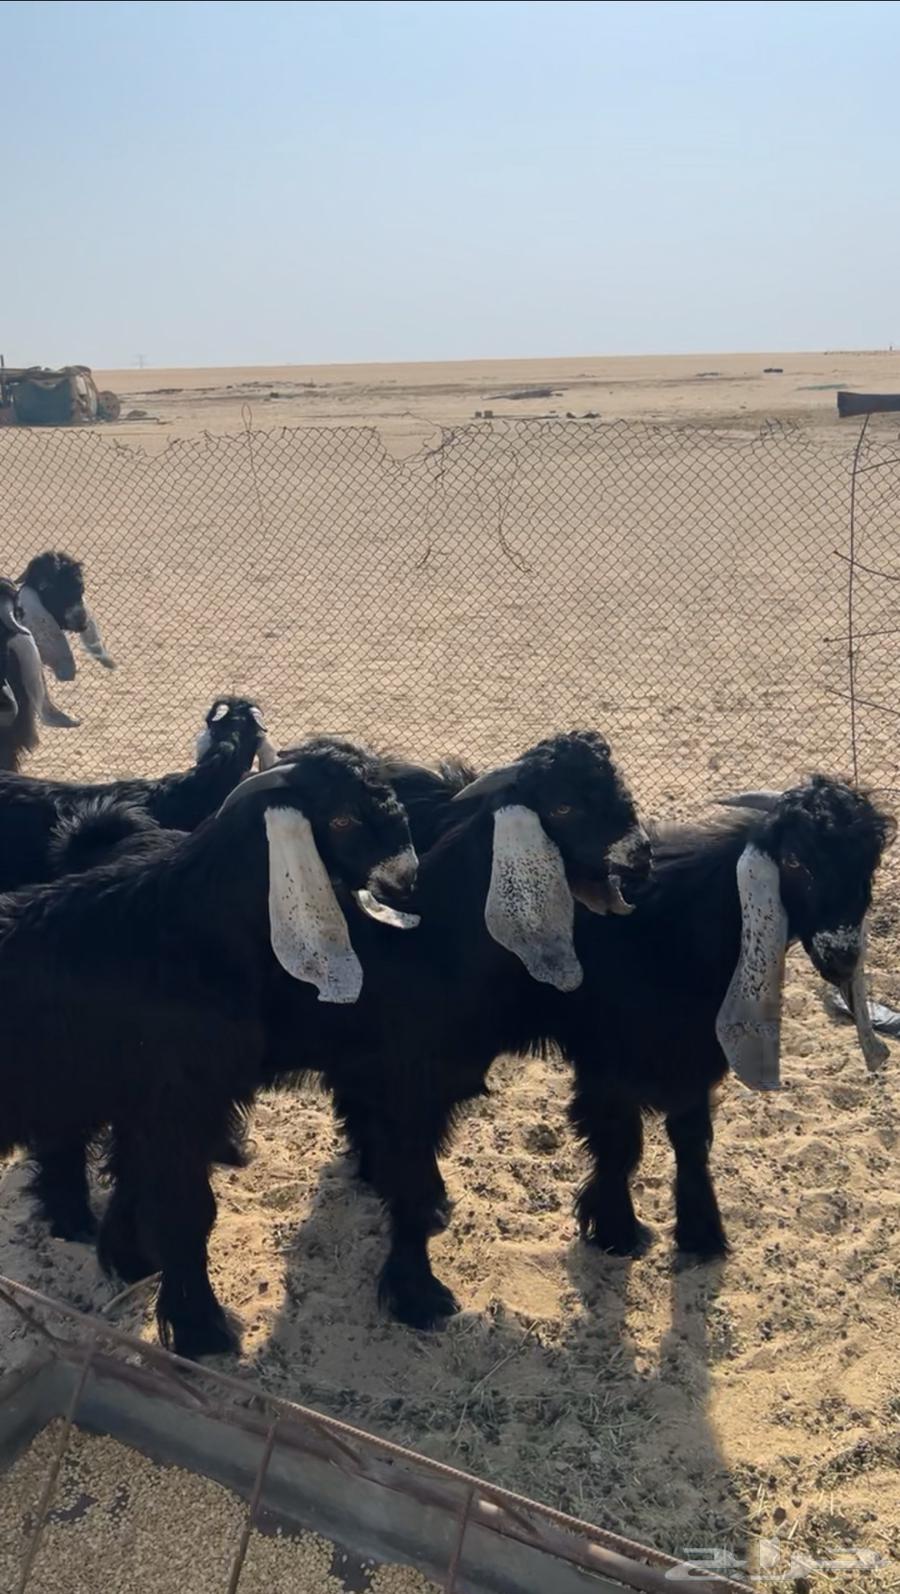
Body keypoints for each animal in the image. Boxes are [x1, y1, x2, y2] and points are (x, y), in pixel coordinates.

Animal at [0, 740, 419, 1358]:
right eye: (341, 818)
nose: (407, 878)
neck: (188, 926)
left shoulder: (150, 1103)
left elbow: (139, 1182)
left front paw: (127, 1258)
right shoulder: (175, 1101)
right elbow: (185, 1210)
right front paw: (200, 1330)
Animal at [545, 776, 894, 1261]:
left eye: (869, 863)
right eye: (794, 860)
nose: (842, 955)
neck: (670, 924)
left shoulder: (695, 1059)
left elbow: (690, 1139)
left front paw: (701, 1235)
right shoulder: (604, 1064)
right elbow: (617, 1143)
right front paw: (616, 1231)